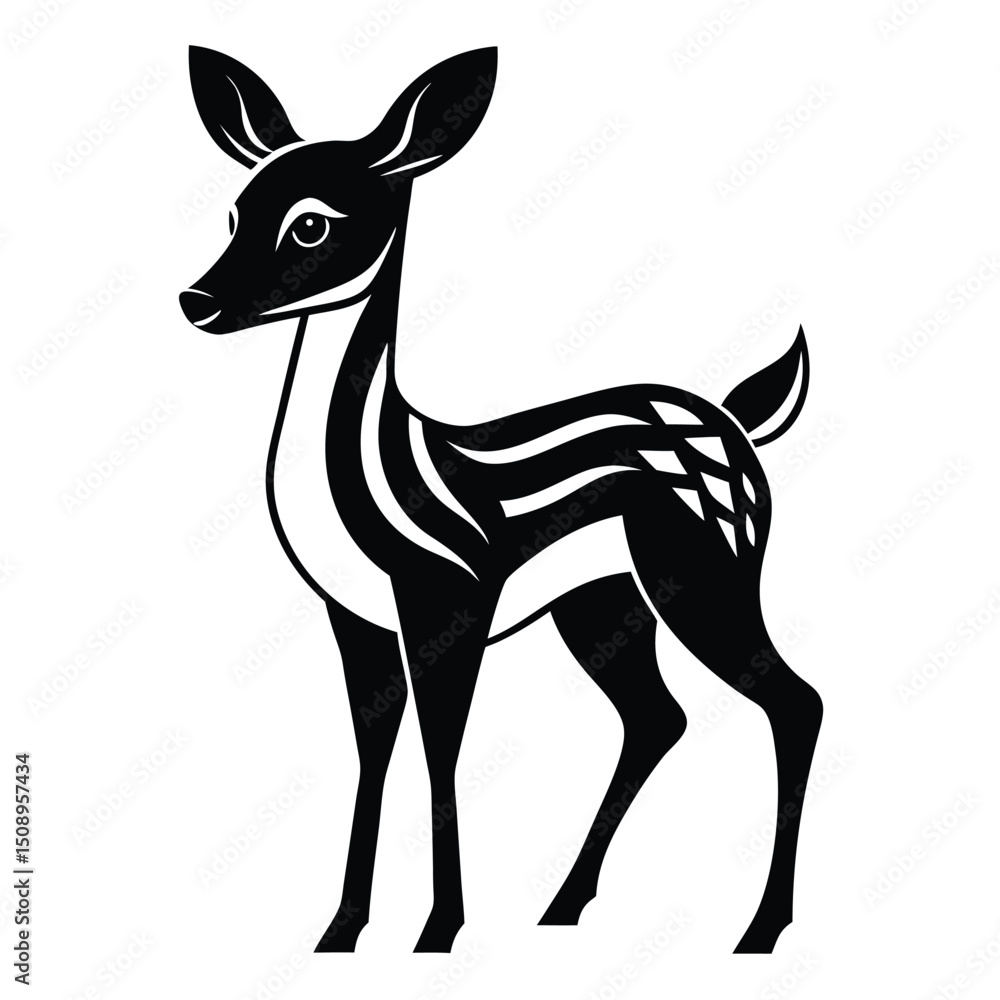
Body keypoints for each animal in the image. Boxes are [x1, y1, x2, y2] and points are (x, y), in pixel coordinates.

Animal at [179, 45, 823, 955]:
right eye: (233, 214)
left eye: (311, 223)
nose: (197, 301)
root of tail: (738, 422)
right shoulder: (355, 613)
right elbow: (373, 749)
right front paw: (342, 929)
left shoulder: (449, 595)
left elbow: (442, 747)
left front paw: (439, 929)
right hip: (602, 602)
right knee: (657, 718)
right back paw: (562, 906)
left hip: (704, 575)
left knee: (793, 702)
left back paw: (759, 930)